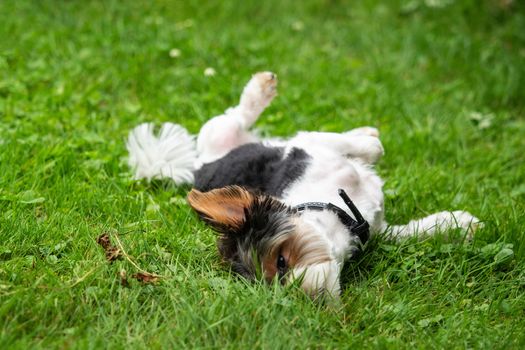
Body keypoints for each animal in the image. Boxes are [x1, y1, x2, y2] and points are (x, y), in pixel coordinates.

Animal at [126, 72, 478, 298]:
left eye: (281, 262)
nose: (304, 300)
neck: (340, 210)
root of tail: (199, 166)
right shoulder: (379, 230)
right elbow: (409, 232)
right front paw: (458, 224)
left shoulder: (311, 147)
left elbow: (350, 144)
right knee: (235, 116)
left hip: (223, 135)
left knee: (237, 116)